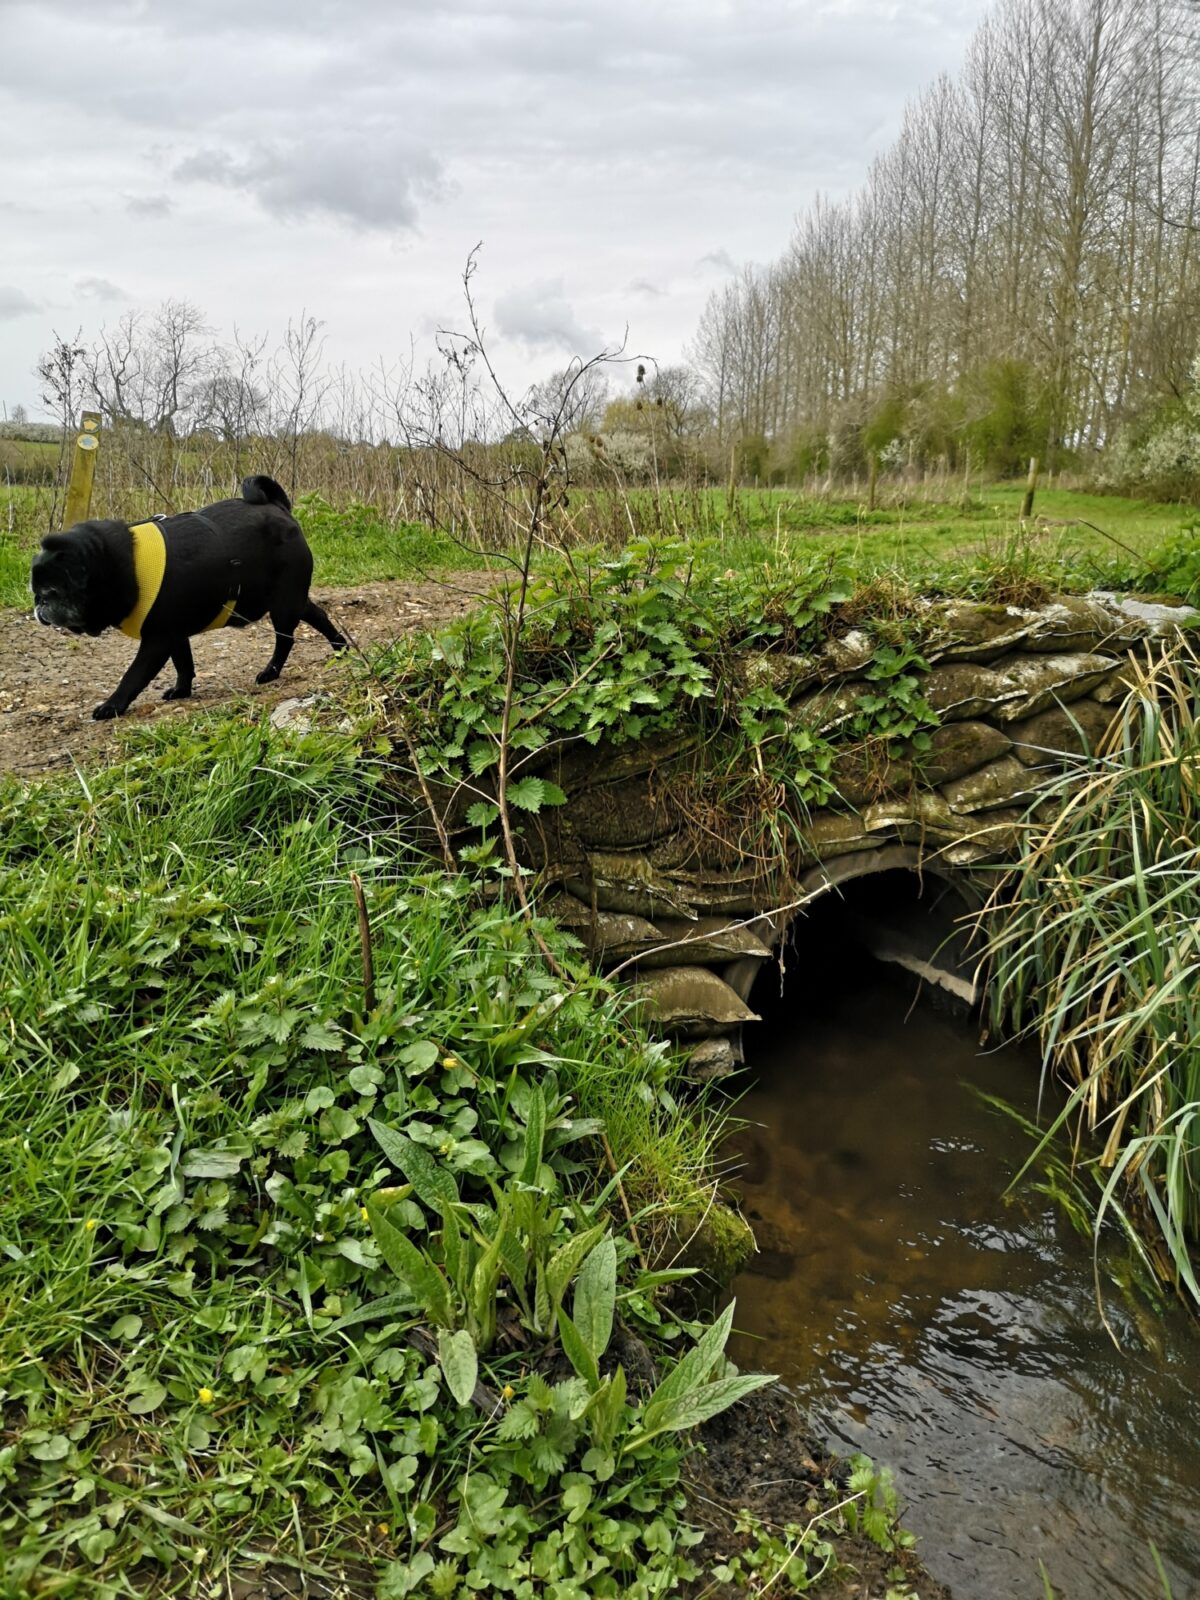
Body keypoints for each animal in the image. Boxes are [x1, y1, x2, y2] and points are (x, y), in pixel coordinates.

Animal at [30, 473, 347, 720]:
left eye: (52, 592)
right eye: (36, 592)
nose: (39, 605)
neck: (122, 566)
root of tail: (280, 509)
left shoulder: (157, 640)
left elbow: (134, 675)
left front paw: (112, 705)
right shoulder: (173, 633)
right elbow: (184, 663)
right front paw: (182, 690)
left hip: (283, 603)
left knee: (285, 639)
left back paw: (270, 672)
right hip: (288, 599)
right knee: (318, 615)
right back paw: (340, 648)